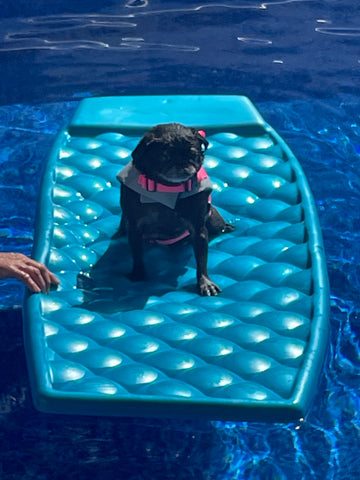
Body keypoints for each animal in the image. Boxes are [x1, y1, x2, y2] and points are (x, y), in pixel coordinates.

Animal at [117, 123, 233, 296]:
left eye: (193, 154)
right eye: (165, 157)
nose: (182, 165)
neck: (167, 188)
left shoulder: (198, 230)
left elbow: (201, 259)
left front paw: (205, 282)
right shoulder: (134, 227)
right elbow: (137, 254)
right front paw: (138, 273)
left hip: (214, 220)